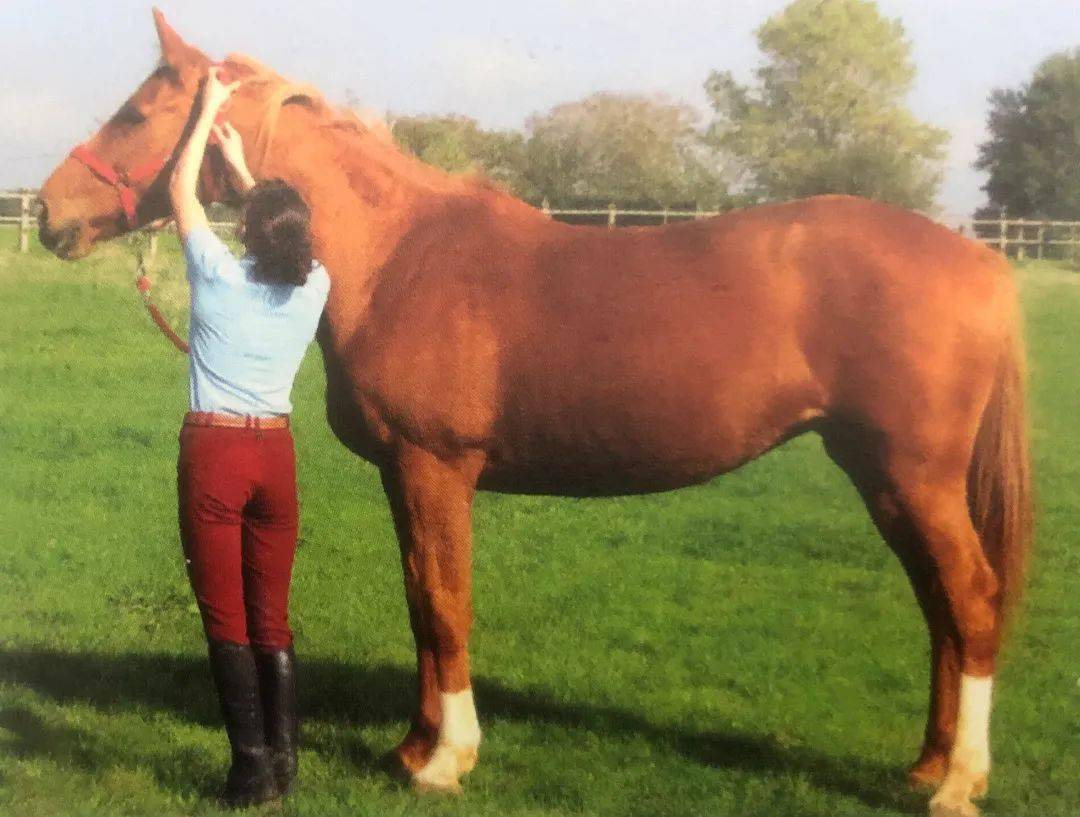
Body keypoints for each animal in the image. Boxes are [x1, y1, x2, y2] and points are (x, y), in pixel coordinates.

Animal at [37, 11, 1031, 817]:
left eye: (136, 113)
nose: (47, 212)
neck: (396, 257)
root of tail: (983, 263)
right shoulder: (406, 475)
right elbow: (419, 599)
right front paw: (412, 748)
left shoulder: (437, 467)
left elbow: (447, 602)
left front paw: (449, 760)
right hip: (883, 477)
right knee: (941, 608)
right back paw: (925, 762)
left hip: (914, 476)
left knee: (972, 599)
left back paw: (956, 781)